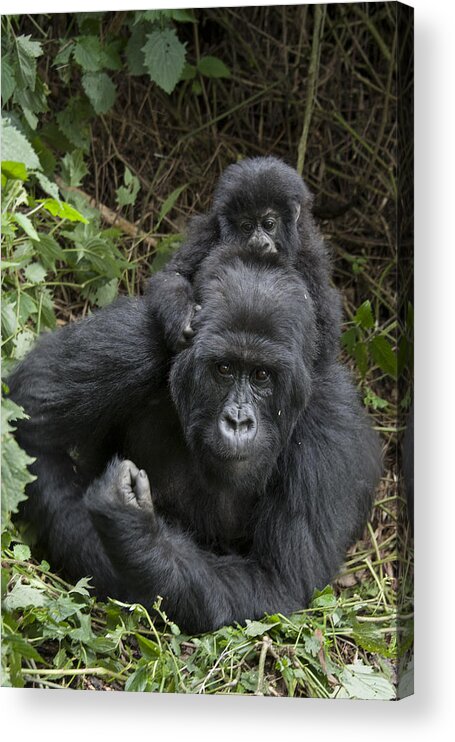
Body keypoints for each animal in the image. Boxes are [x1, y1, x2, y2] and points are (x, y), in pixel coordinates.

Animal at [7, 250, 382, 632]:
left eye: (262, 375)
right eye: (224, 369)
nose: (237, 421)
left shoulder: (331, 429)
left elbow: (275, 581)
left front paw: (135, 533)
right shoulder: (135, 339)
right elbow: (28, 422)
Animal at [146, 157, 342, 370]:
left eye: (269, 224)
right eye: (247, 226)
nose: (259, 243)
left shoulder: (310, 258)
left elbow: (323, 336)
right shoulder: (207, 231)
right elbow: (174, 274)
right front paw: (182, 315)